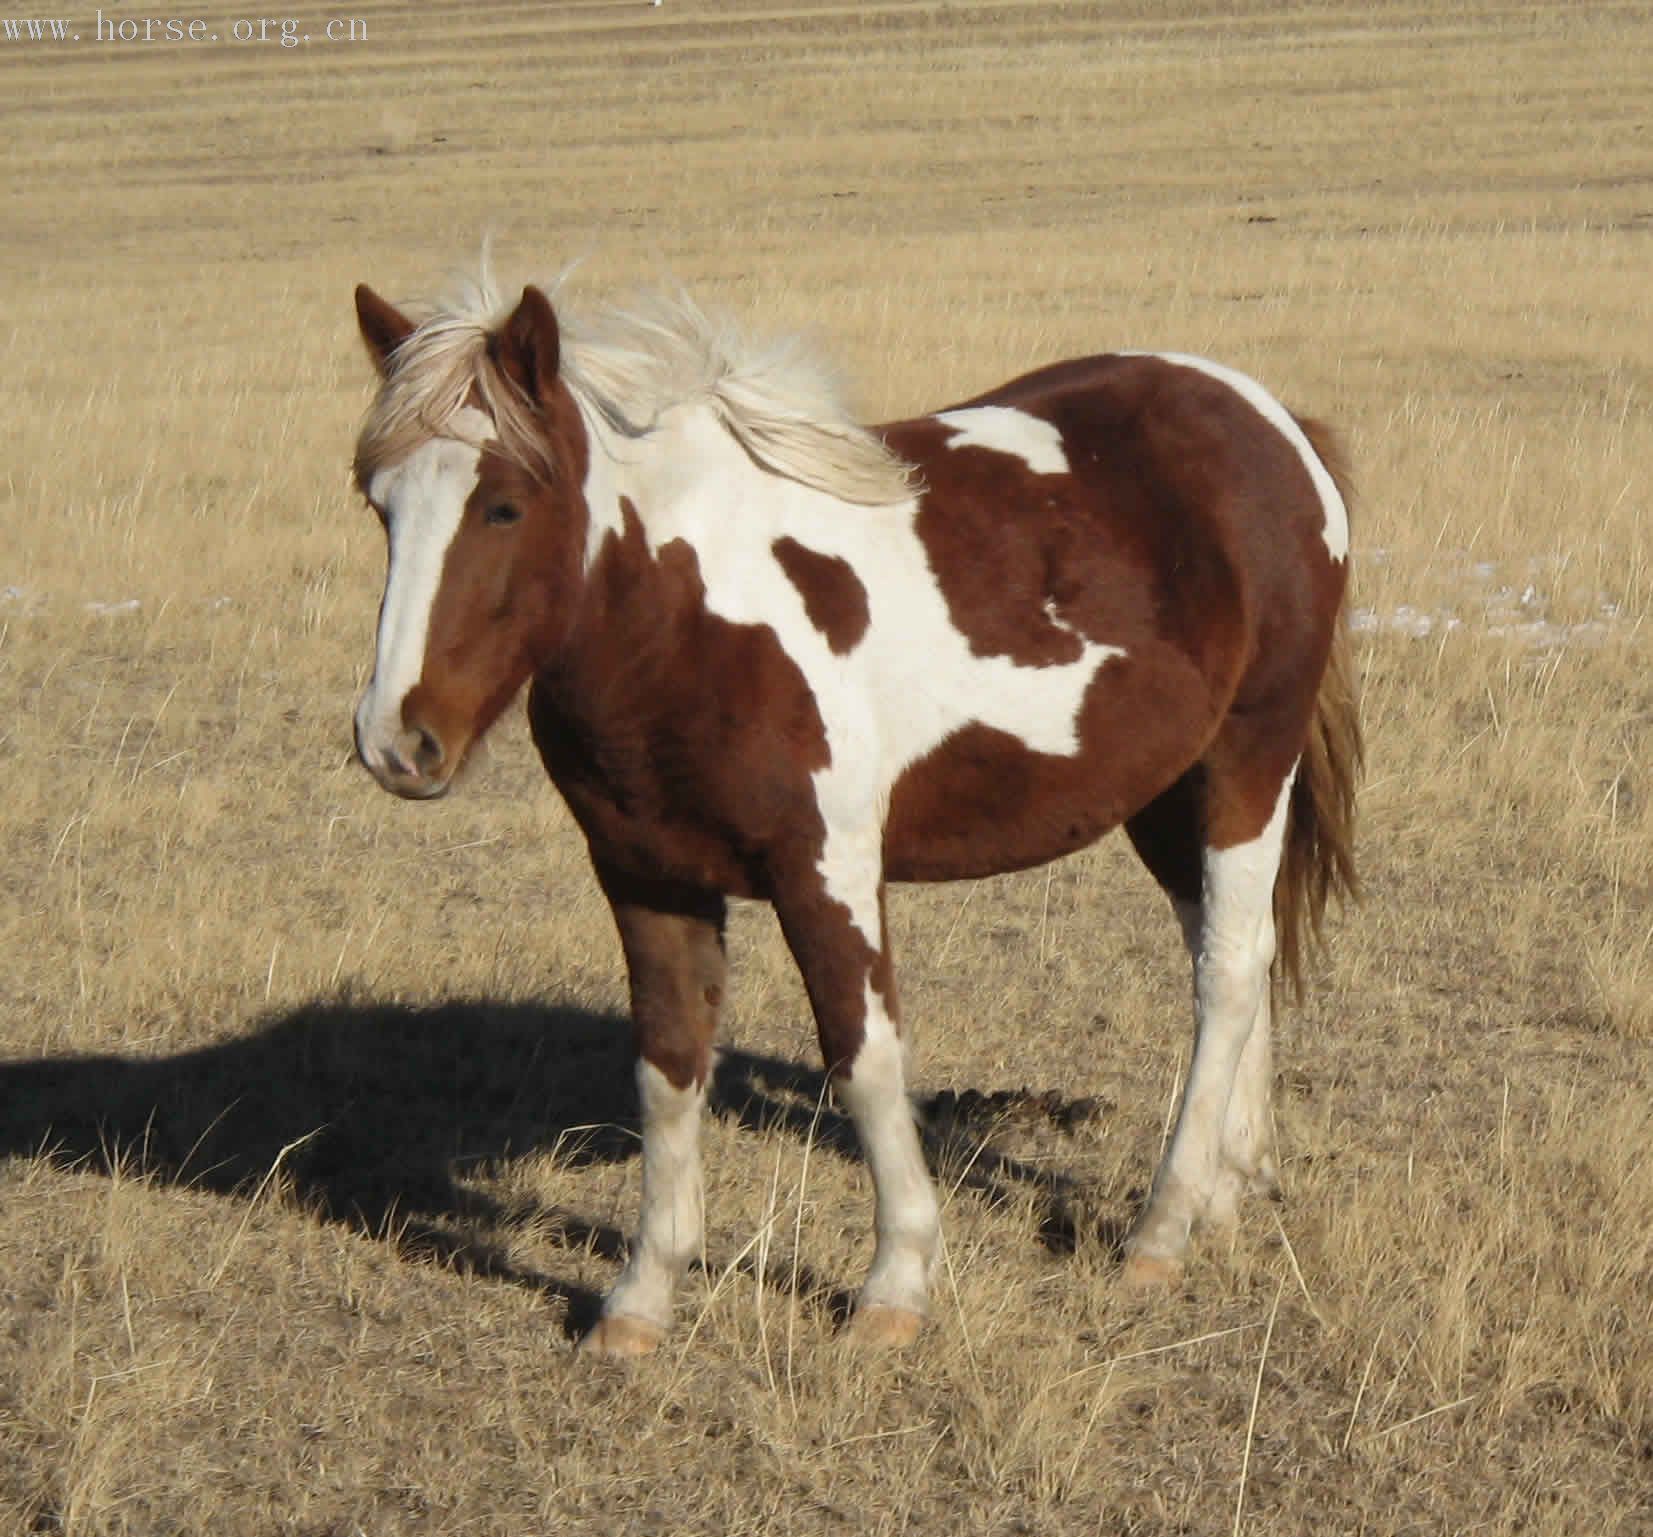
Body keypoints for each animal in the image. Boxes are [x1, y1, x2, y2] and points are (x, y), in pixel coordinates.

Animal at [345, 272, 1355, 1355]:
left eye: (504, 503)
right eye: (380, 505)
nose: (397, 740)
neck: (687, 617)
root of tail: (1270, 422)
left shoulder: (823, 870)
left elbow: (864, 1060)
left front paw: (896, 1283)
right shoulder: (644, 874)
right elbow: (667, 1067)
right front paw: (641, 1297)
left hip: (1248, 764)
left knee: (1227, 974)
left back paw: (1161, 1230)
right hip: (1168, 793)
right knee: (1232, 951)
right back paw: (1223, 1193)